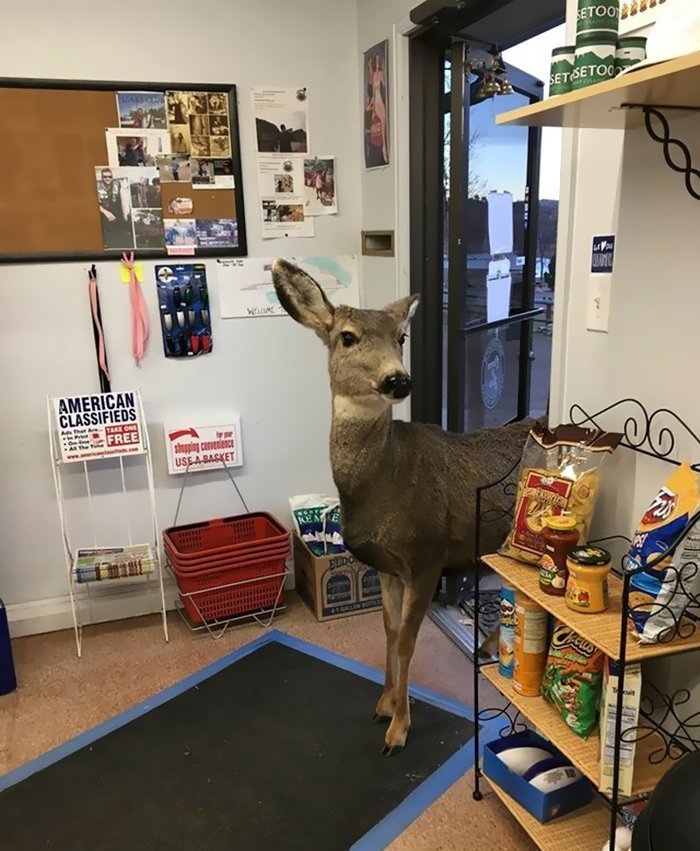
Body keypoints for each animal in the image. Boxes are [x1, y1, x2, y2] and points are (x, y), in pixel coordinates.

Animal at [272, 258, 536, 752]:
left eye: (401, 338)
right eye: (347, 336)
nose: (398, 379)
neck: (383, 484)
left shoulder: (427, 556)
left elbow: (408, 642)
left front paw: (398, 729)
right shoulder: (387, 567)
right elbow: (389, 632)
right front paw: (383, 704)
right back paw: (489, 647)